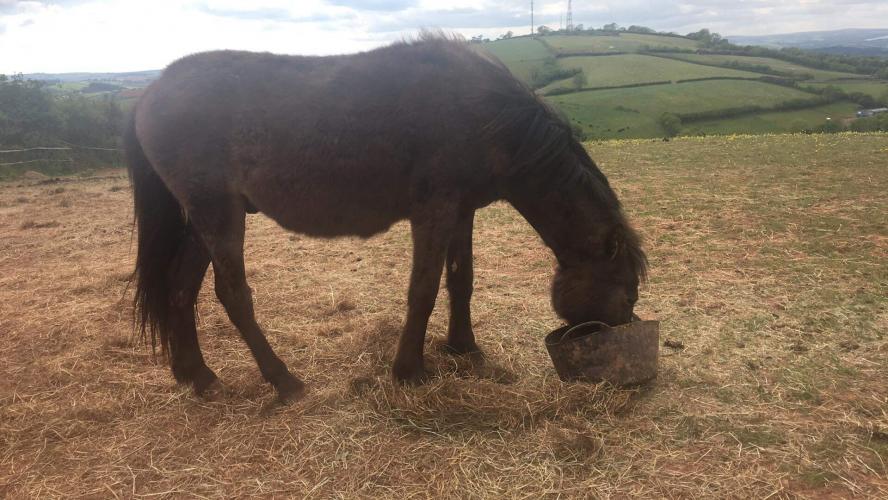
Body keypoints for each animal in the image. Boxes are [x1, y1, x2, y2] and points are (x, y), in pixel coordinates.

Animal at [126, 33, 647, 402]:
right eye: (627, 293)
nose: (621, 334)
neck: (486, 115)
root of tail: (149, 91)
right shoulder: (434, 211)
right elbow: (424, 290)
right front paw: (409, 370)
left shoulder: (461, 211)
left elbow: (461, 280)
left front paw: (464, 348)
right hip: (218, 214)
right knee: (233, 295)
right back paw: (283, 381)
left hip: (201, 221)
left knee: (179, 289)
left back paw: (198, 376)